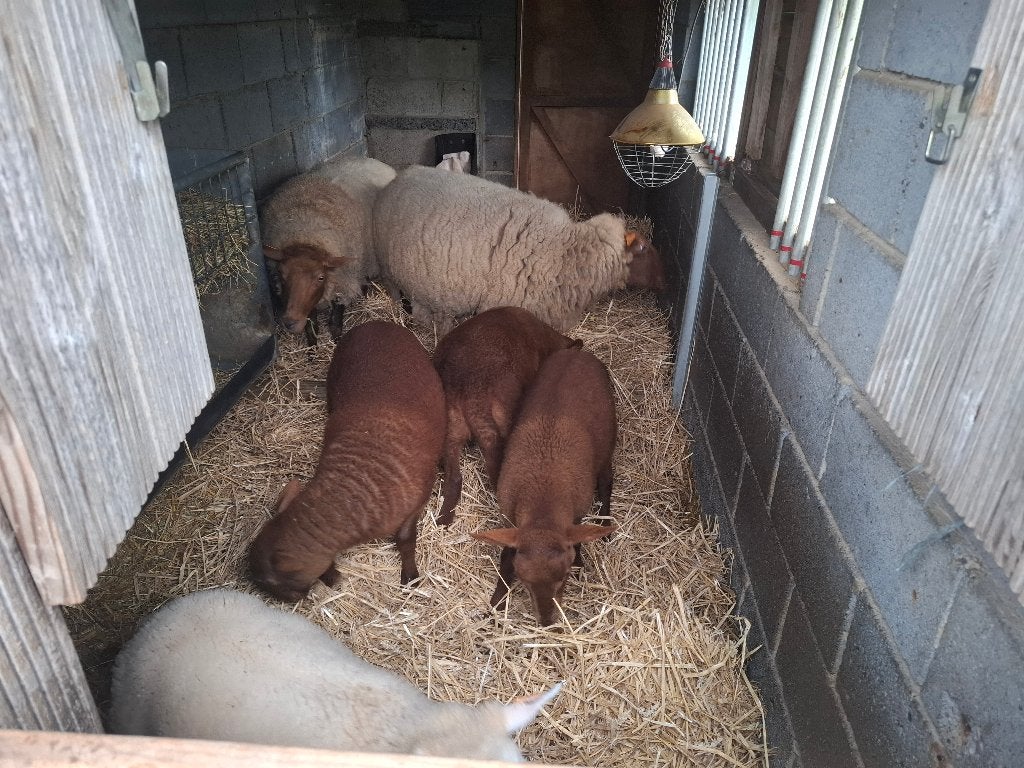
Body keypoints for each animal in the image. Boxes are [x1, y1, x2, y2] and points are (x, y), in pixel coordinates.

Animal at [249, 320, 445, 602]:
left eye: (276, 586)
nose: (296, 599)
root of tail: (374, 323)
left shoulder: (418, 500)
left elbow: (406, 538)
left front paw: (410, 575)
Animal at [260, 156, 395, 340]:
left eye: (321, 277)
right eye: (281, 274)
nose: (290, 322)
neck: (306, 236)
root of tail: (371, 159)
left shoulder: (342, 282)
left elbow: (336, 318)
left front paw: (338, 337)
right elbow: (311, 325)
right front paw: (312, 344)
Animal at [372, 165, 665, 334]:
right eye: (643, 247)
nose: (666, 280)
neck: (565, 252)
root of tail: (402, 175)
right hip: (388, 268)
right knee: (396, 292)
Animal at [472, 346, 618, 626]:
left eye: (564, 576)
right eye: (524, 581)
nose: (548, 622)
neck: (543, 495)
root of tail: (578, 352)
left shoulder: (576, 511)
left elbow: (577, 539)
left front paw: (580, 560)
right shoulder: (512, 521)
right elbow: (506, 559)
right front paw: (496, 602)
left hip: (608, 445)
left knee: (606, 483)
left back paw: (605, 523)